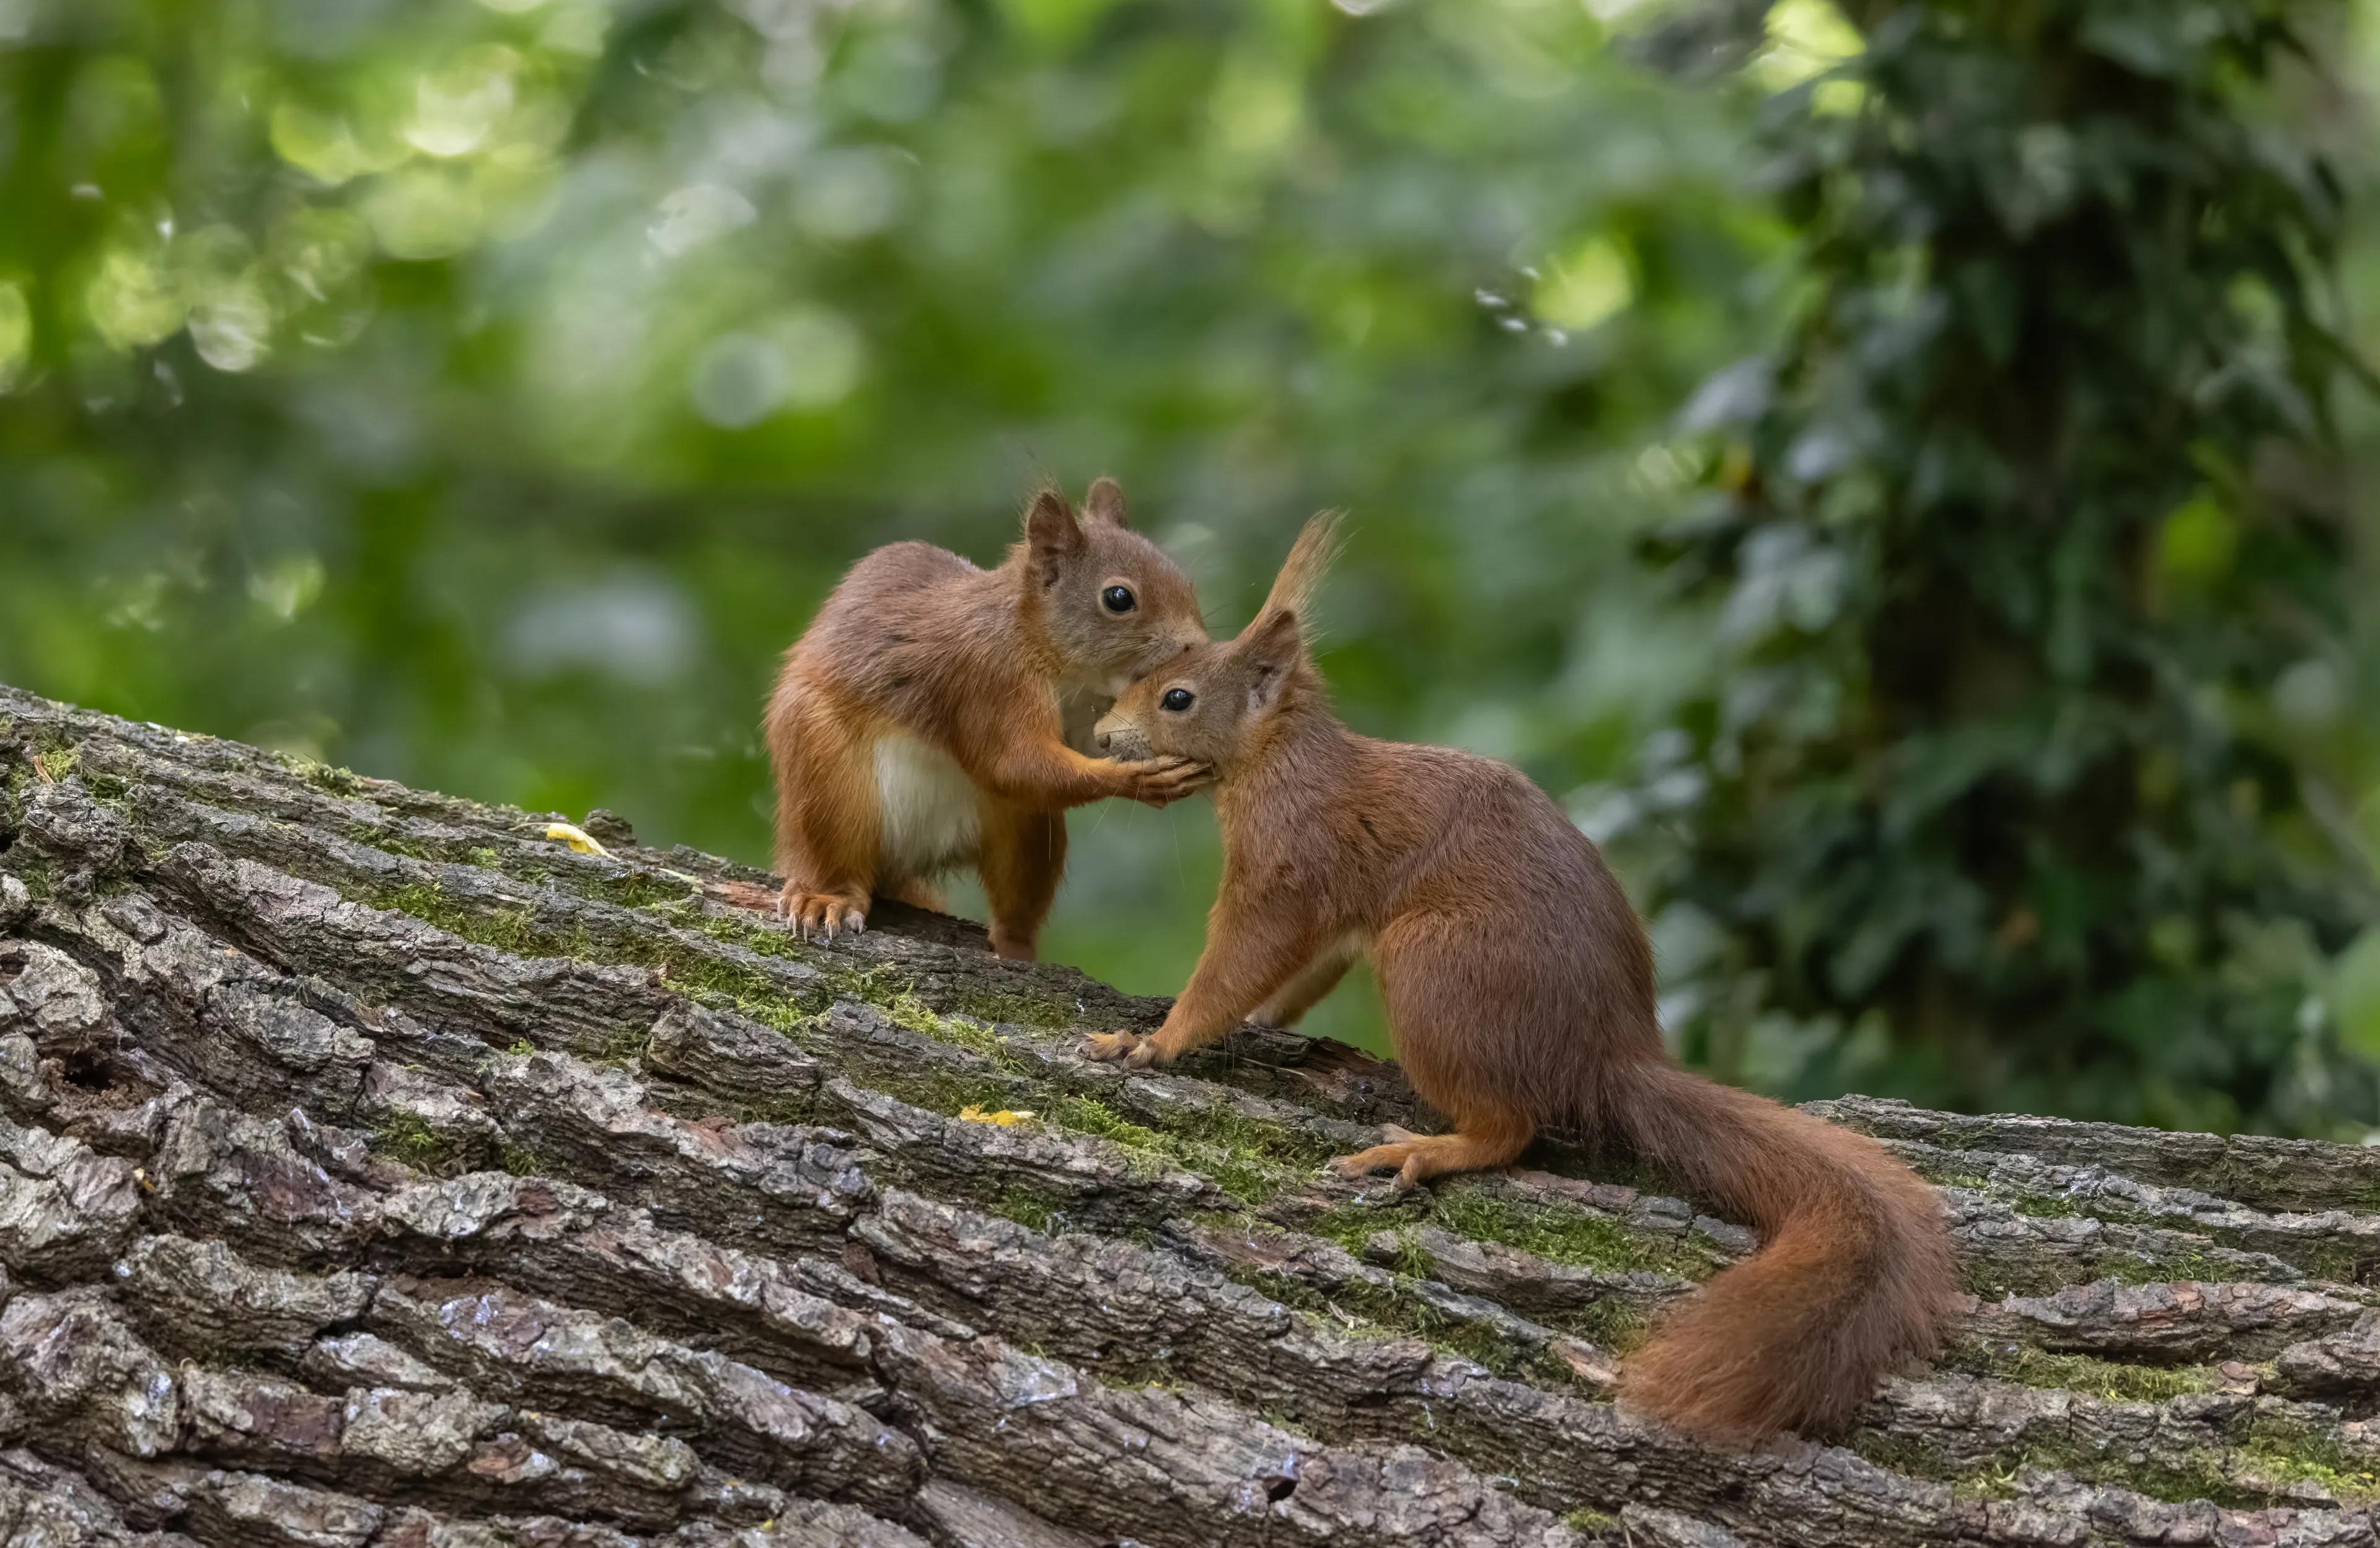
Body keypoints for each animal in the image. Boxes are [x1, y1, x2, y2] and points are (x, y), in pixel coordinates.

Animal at [763, 480, 1214, 960]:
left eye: (1185, 582)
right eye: (1119, 598)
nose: (1196, 647)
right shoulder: (987, 676)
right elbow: (1013, 763)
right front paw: (1141, 779)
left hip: (1026, 829)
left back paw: (1016, 947)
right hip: (825, 774)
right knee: (837, 857)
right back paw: (826, 896)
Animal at [1079, 512, 1959, 1441]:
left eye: (1178, 697)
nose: (1100, 739)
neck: (1281, 755)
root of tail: (1608, 1054)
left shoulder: (1289, 864)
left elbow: (1238, 960)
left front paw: (1154, 1040)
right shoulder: (1331, 916)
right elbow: (1302, 970)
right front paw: (1254, 1023)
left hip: (1434, 967)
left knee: (1512, 1129)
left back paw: (1427, 1148)